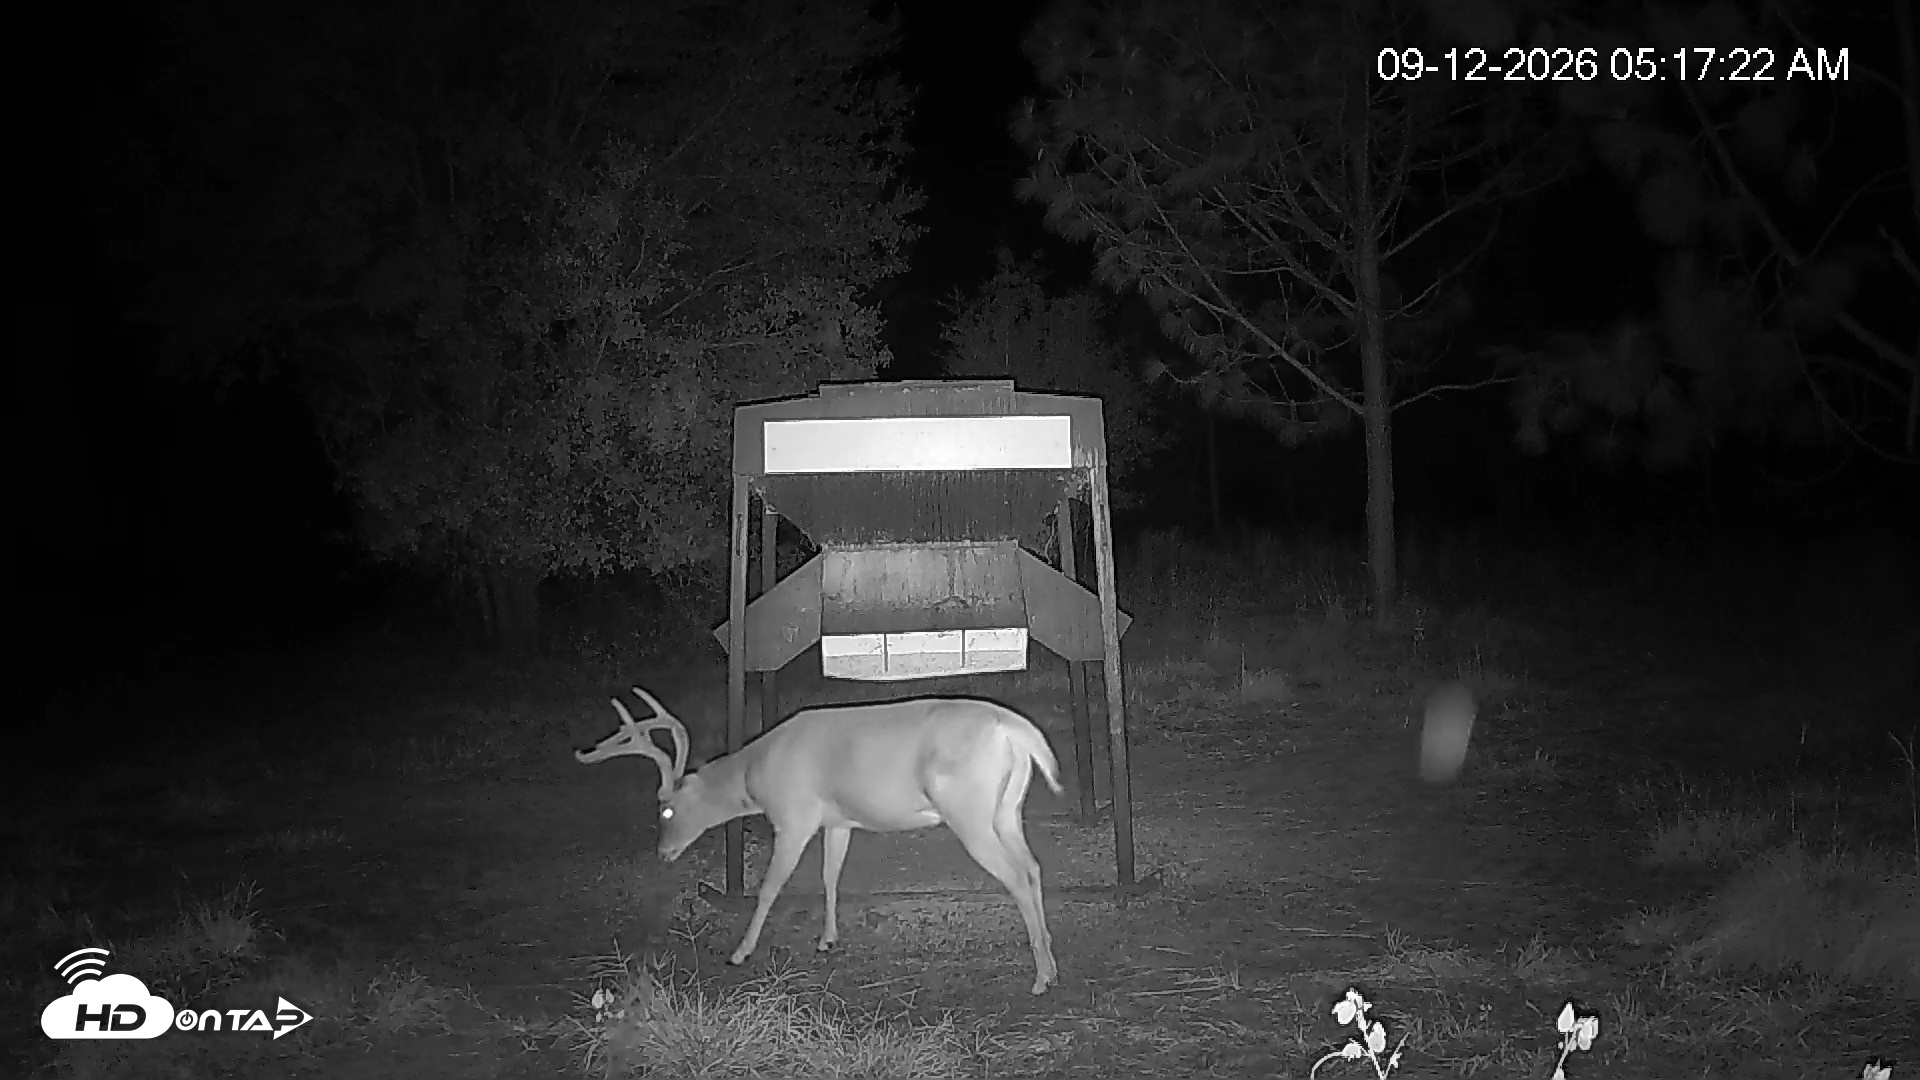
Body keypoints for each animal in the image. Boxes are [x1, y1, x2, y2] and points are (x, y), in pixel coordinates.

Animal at [576, 686, 1064, 995]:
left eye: (666, 810)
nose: (663, 852)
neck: (754, 777)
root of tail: (1017, 731)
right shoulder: (837, 820)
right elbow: (831, 876)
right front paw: (828, 938)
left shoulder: (794, 817)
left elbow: (770, 887)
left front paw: (741, 951)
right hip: (1006, 810)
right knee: (1034, 868)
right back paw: (1051, 959)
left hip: (969, 811)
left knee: (1017, 876)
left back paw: (1041, 977)